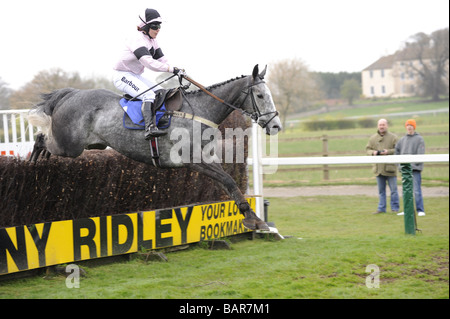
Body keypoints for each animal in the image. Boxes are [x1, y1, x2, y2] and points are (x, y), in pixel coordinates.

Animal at [28, 64, 282, 230]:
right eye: (260, 95)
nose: (276, 125)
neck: (199, 112)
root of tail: (70, 94)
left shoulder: (208, 158)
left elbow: (229, 183)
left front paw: (253, 217)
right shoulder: (193, 160)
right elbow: (228, 180)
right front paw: (253, 219)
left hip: (91, 145)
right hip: (70, 146)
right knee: (41, 138)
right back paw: (31, 163)